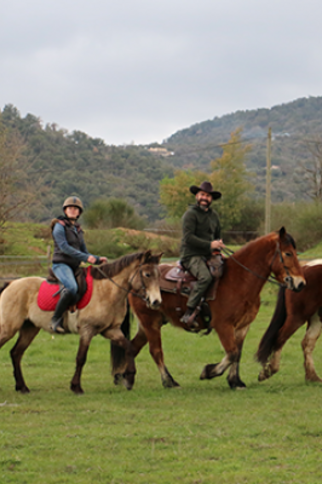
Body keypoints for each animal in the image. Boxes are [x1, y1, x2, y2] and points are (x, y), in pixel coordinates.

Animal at [0, 251, 161, 396]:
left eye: (158, 275)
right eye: (147, 274)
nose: (156, 302)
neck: (106, 291)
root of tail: (11, 283)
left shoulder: (111, 330)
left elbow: (129, 347)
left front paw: (129, 379)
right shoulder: (87, 330)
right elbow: (81, 358)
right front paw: (76, 387)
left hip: (30, 329)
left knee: (16, 353)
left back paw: (22, 387)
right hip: (8, 328)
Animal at [112, 227, 306, 390]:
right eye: (288, 253)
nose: (301, 283)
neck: (239, 280)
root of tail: (135, 279)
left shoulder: (242, 326)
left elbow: (237, 353)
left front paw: (235, 381)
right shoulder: (223, 325)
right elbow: (232, 353)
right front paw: (209, 372)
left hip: (149, 324)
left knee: (132, 347)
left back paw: (126, 378)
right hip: (150, 322)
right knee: (156, 351)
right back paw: (169, 381)